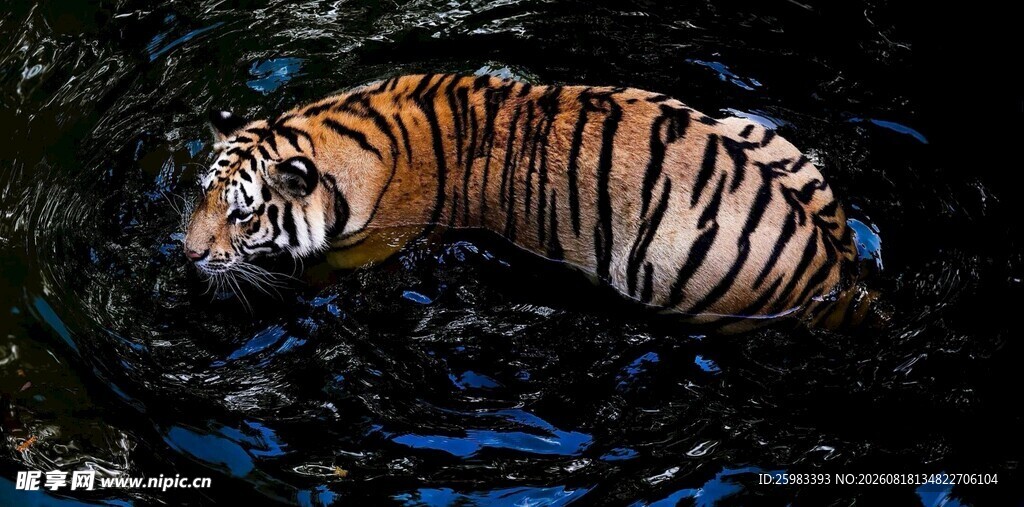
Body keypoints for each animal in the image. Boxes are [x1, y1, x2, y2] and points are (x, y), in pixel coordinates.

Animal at [183, 73, 871, 331]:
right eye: (201, 197)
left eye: (241, 214)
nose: (185, 255)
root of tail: (837, 267)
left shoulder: (375, 244)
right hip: (766, 137)